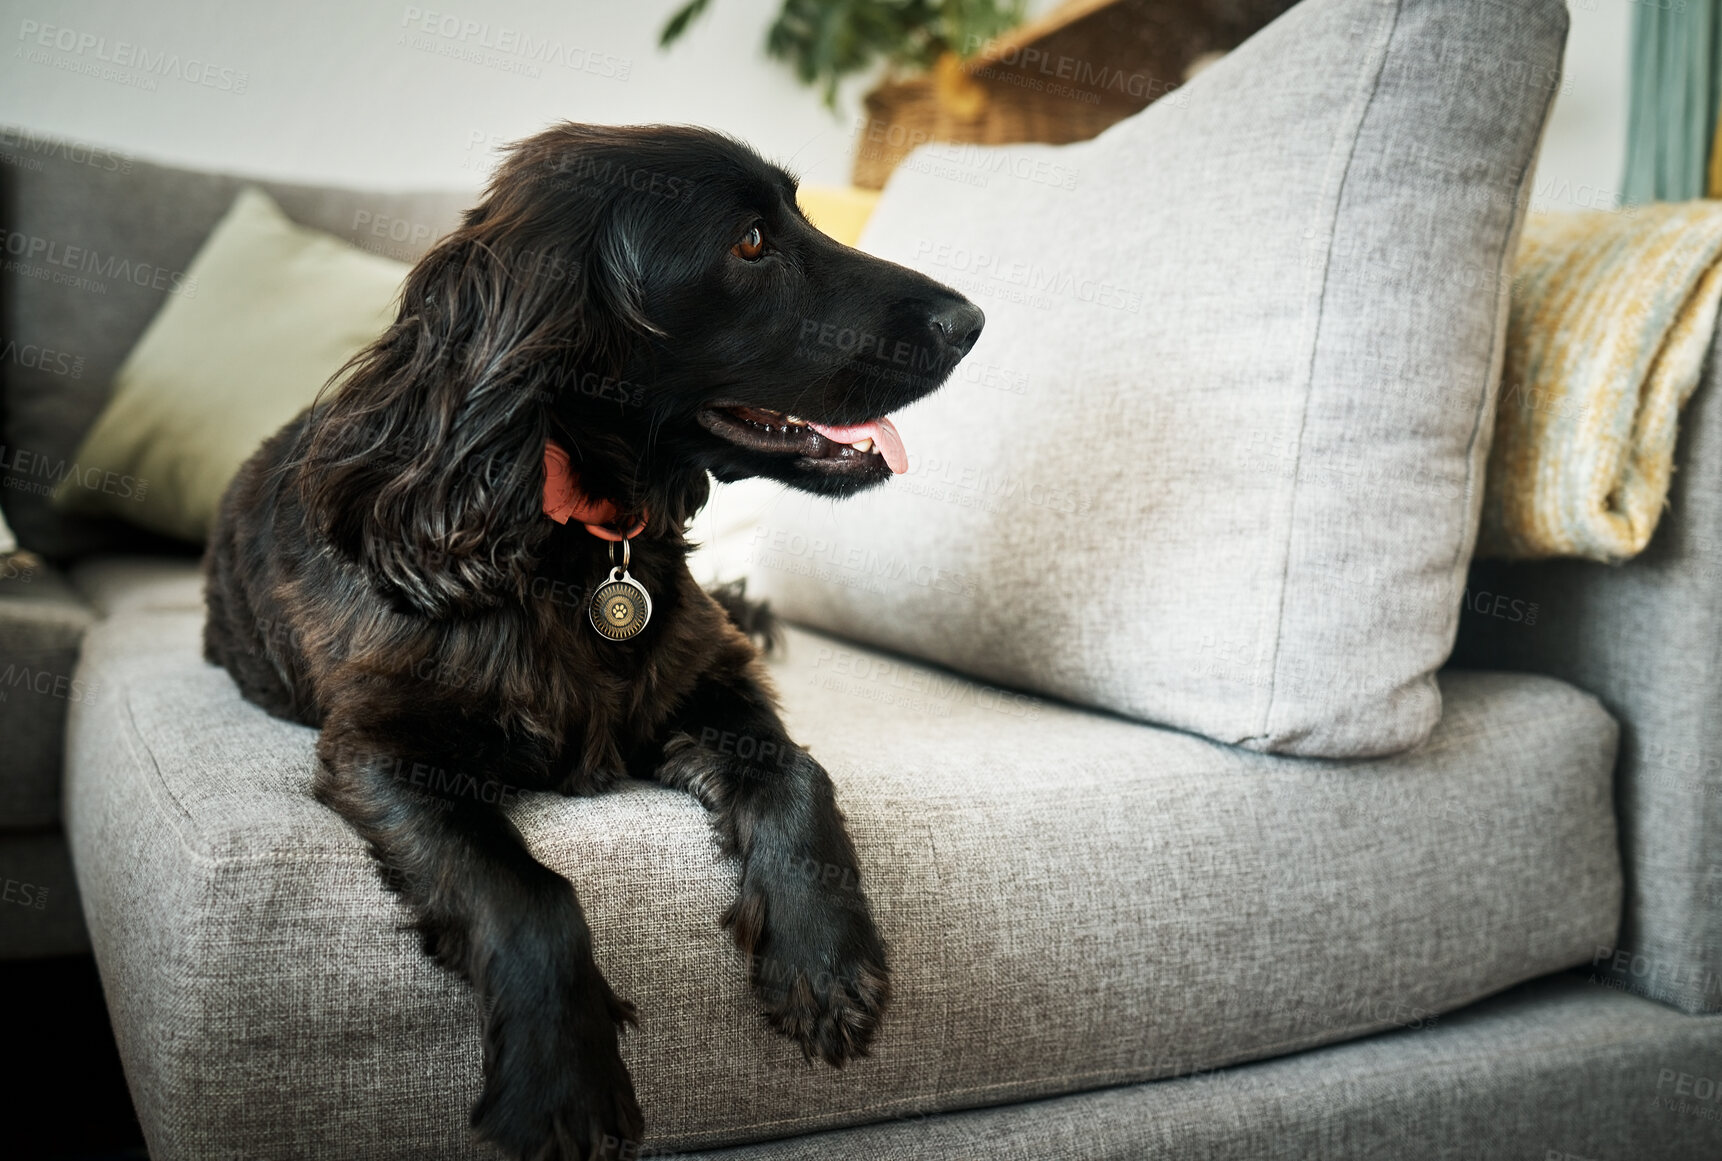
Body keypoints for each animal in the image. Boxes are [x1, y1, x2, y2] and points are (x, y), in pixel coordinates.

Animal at [201, 122, 984, 1150]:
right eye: (749, 243)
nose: (972, 320)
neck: (574, 540)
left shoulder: (709, 675)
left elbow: (796, 771)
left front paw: (825, 956)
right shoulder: (379, 746)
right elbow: (527, 891)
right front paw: (559, 1082)